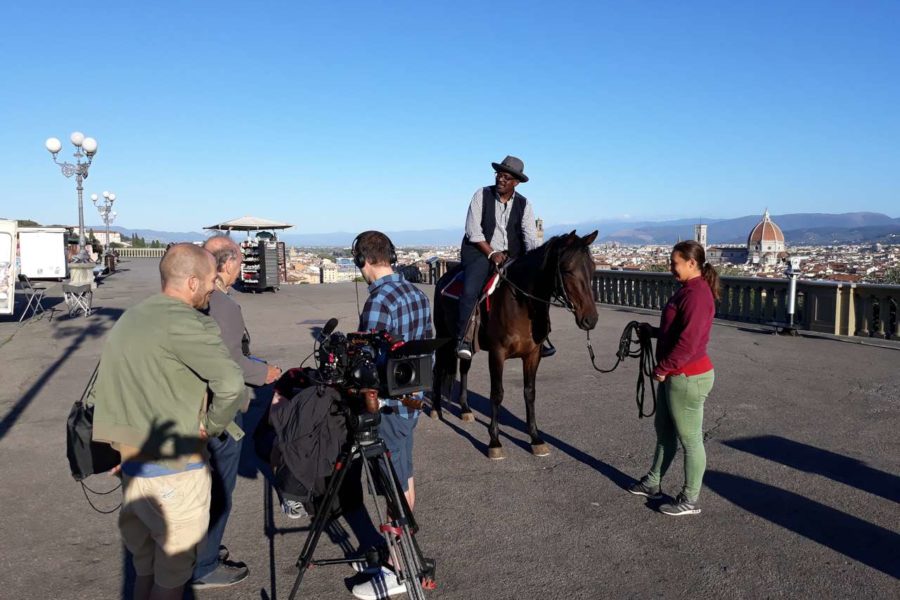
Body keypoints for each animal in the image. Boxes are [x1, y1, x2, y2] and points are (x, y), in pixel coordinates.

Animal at [430, 230, 596, 460]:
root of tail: (445, 278)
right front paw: (494, 441)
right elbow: (497, 393)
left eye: (593, 268)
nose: (591, 319)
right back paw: (435, 409)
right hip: (444, 332)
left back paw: (465, 409)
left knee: (464, 367)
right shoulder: (497, 354)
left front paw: (535, 438)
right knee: (439, 369)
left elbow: (530, 392)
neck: (522, 303)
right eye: (568, 270)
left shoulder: (533, 354)